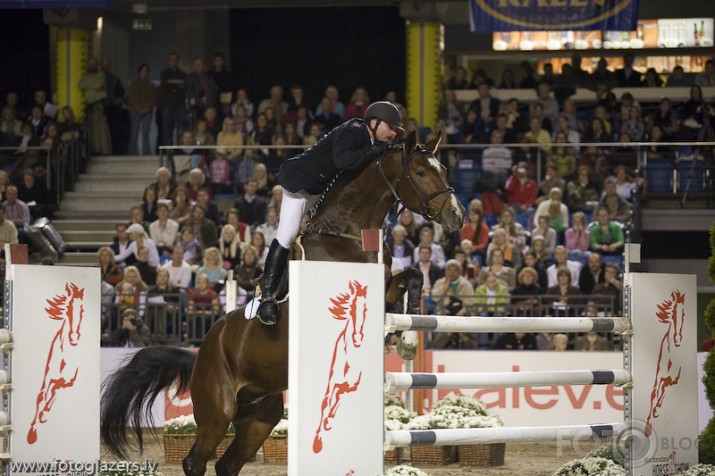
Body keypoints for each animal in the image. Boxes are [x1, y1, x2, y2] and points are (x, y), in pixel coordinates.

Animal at [28, 280, 85, 444]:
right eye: (68, 308)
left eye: (82, 310)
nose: (74, 337)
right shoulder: (48, 378)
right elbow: (41, 397)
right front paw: (32, 432)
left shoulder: (68, 382)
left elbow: (54, 395)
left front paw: (43, 415)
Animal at [103, 130, 468, 476]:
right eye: (420, 172)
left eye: (443, 169)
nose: (457, 216)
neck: (347, 235)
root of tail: (201, 353)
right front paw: (403, 340)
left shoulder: (386, 287)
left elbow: (413, 277)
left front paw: (408, 339)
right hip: (217, 412)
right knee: (196, 461)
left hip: (260, 416)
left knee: (227, 464)